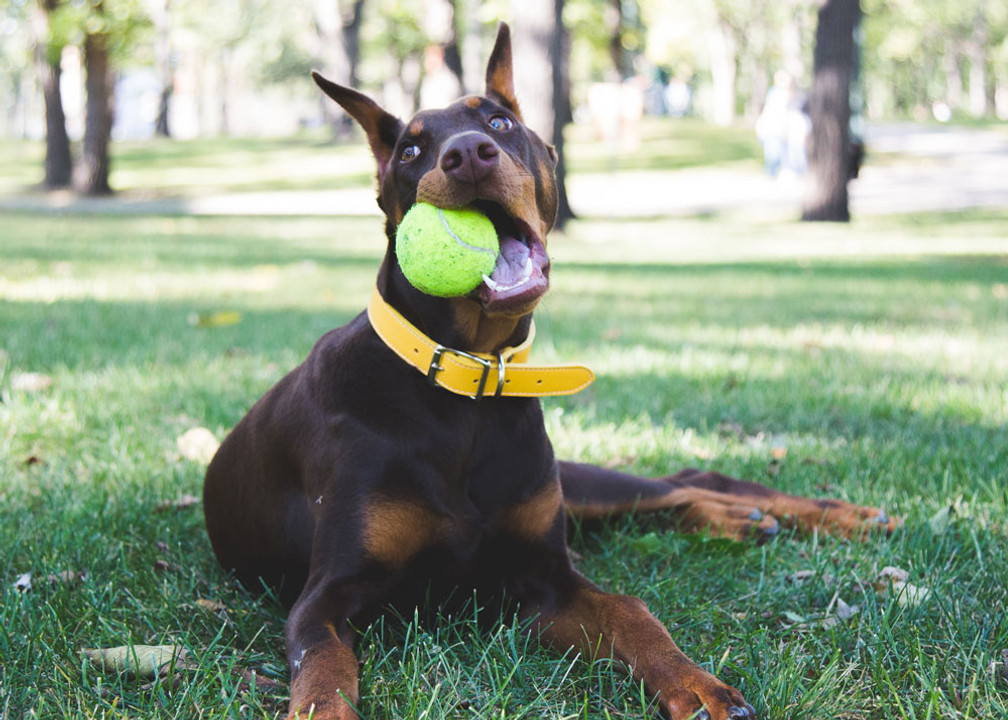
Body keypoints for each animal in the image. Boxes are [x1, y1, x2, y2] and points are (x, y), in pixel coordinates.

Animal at [200, 22, 895, 717]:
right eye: (410, 150)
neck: (468, 388)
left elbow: (631, 612)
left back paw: (835, 517)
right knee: (683, 492)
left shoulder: (545, 579)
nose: (468, 154)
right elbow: (323, 675)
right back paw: (746, 524)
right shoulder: (326, 596)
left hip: (576, 488)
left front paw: (699, 685)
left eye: (501, 122)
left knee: (690, 477)